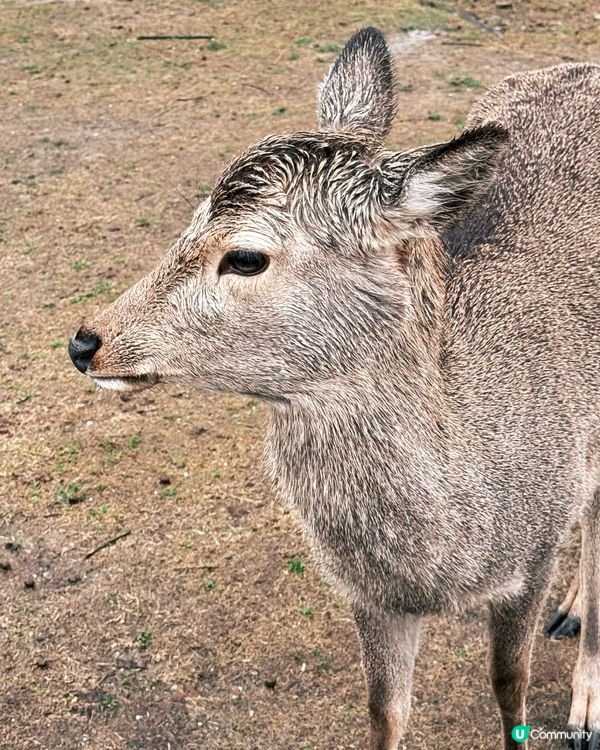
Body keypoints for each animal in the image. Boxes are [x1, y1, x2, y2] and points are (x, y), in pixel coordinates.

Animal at [68, 27, 600, 750]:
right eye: (189, 220)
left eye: (245, 256)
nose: (86, 342)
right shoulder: (370, 596)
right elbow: (385, 710)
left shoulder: (535, 551)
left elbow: (509, 688)